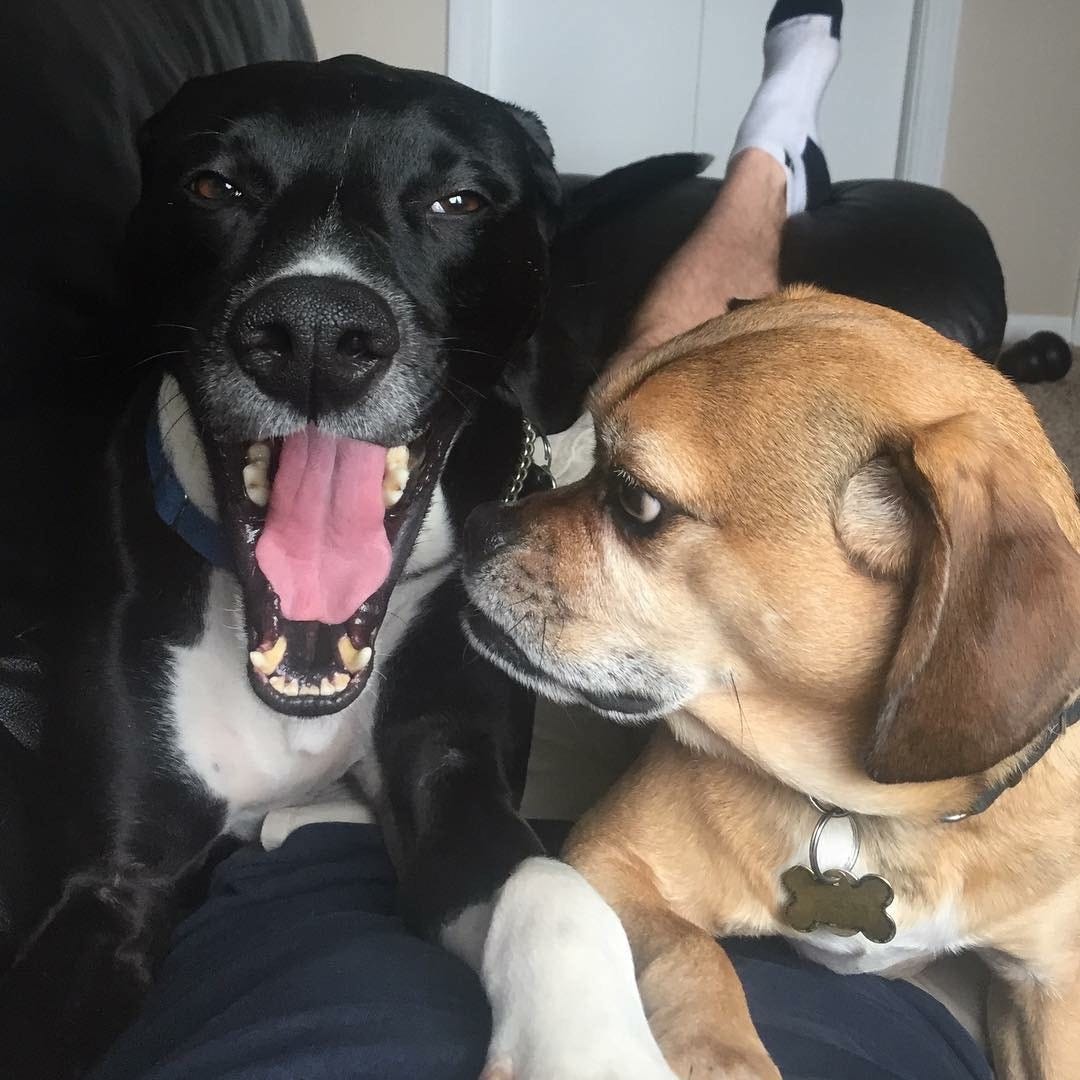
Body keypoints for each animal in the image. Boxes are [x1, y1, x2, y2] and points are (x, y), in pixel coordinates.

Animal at [466, 289, 1080, 1080]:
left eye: (637, 502)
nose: (475, 522)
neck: (865, 812)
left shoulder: (1054, 990)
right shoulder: (607, 859)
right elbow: (694, 954)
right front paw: (723, 1053)